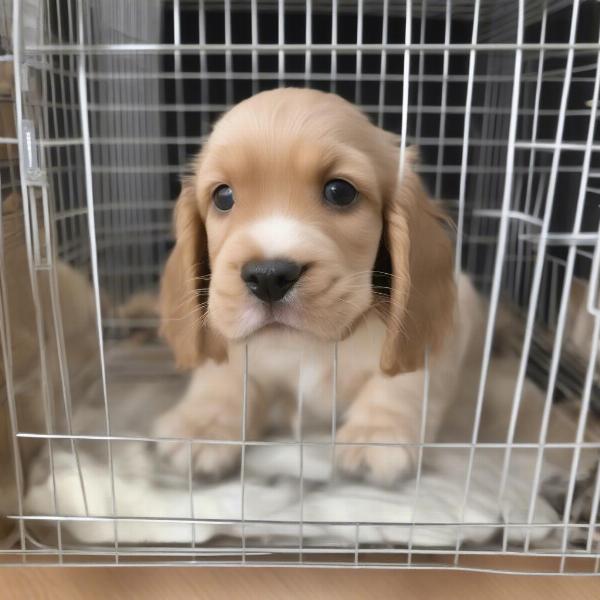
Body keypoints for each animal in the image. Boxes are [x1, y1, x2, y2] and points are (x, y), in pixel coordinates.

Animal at [154, 86, 482, 486]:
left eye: (340, 191)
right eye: (223, 196)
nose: (268, 276)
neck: (311, 346)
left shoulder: (451, 320)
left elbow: (406, 379)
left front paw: (377, 433)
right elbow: (225, 371)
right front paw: (202, 424)